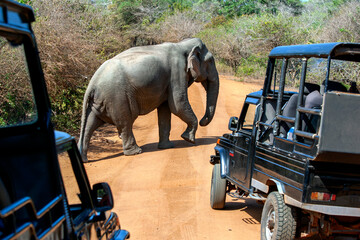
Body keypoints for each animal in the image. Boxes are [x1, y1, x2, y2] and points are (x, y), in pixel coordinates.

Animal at [78, 38, 219, 161]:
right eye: (211, 61)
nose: (203, 120)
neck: (182, 44)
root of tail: (92, 83)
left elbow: (165, 109)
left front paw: (167, 147)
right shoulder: (177, 71)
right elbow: (177, 104)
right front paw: (189, 139)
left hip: (100, 100)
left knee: (90, 123)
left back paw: (84, 159)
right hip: (117, 96)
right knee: (125, 122)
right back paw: (135, 152)